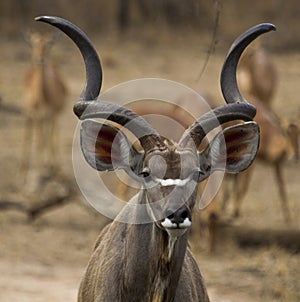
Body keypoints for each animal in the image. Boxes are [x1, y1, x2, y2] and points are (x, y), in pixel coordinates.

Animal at [22, 31, 67, 179]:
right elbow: (39, 142)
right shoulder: (36, 115)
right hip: (28, 114)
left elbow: (51, 139)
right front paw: (38, 171)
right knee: (29, 135)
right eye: (33, 44)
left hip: (48, 118)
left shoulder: (53, 114)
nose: (39, 59)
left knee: (49, 136)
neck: (43, 96)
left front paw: (53, 168)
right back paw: (24, 168)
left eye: (49, 45)